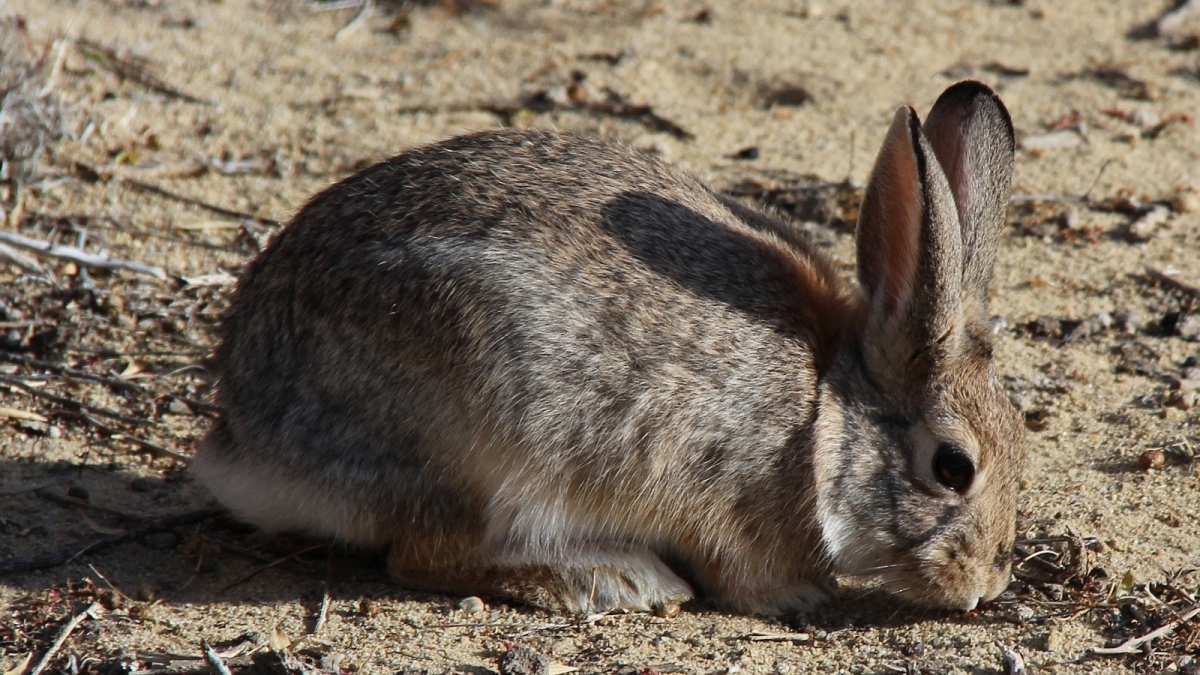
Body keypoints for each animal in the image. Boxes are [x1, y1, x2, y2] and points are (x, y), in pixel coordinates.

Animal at [192, 79, 1027, 614]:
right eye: (953, 468)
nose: (986, 583)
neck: (827, 411)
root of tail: (248, 443)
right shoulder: (719, 489)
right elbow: (739, 565)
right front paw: (798, 595)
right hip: (482, 433)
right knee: (425, 552)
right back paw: (614, 580)